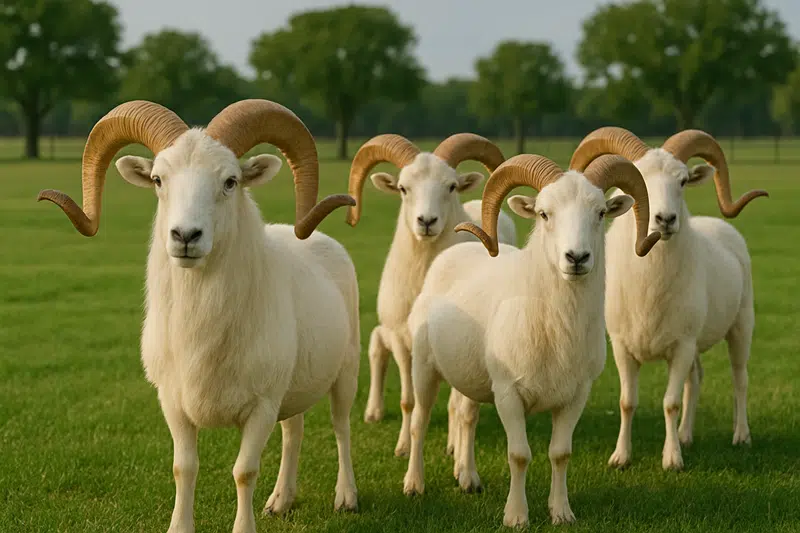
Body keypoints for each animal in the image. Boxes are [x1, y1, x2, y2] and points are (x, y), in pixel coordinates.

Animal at [37, 99, 361, 533]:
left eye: (230, 181)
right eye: (158, 179)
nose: (185, 236)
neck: (202, 335)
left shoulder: (260, 407)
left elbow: (244, 472)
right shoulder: (174, 404)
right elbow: (184, 468)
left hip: (345, 373)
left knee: (341, 428)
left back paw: (346, 498)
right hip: (293, 390)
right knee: (294, 432)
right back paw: (280, 502)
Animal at [346, 133, 517, 457]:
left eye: (451, 186)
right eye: (403, 188)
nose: (426, 221)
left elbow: (455, 402)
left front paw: (453, 446)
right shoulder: (402, 340)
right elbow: (408, 400)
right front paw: (403, 447)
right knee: (375, 344)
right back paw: (373, 411)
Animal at [402, 152, 661, 527]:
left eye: (600, 212)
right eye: (543, 213)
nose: (577, 258)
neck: (556, 329)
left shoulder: (575, 395)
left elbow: (561, 453)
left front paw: (562, 513)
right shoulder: (509, 394)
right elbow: (519, 455)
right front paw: (516, 517)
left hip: (471, 375)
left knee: (466, 417)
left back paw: (468, 478)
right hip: (424, 367)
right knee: (419, 423)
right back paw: (414, 484)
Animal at [569, 126, 768, 471]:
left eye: (683, 181)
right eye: (640, 183)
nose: (665, 220)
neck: (649, 291)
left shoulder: (682, 346)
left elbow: (670, 403)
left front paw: (672, 460)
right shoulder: (623, 347)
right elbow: (627, 402)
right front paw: (620, 458)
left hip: (741, 328)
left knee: (739, 378)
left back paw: (741, 436)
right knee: (696, 380)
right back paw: (686, 435)